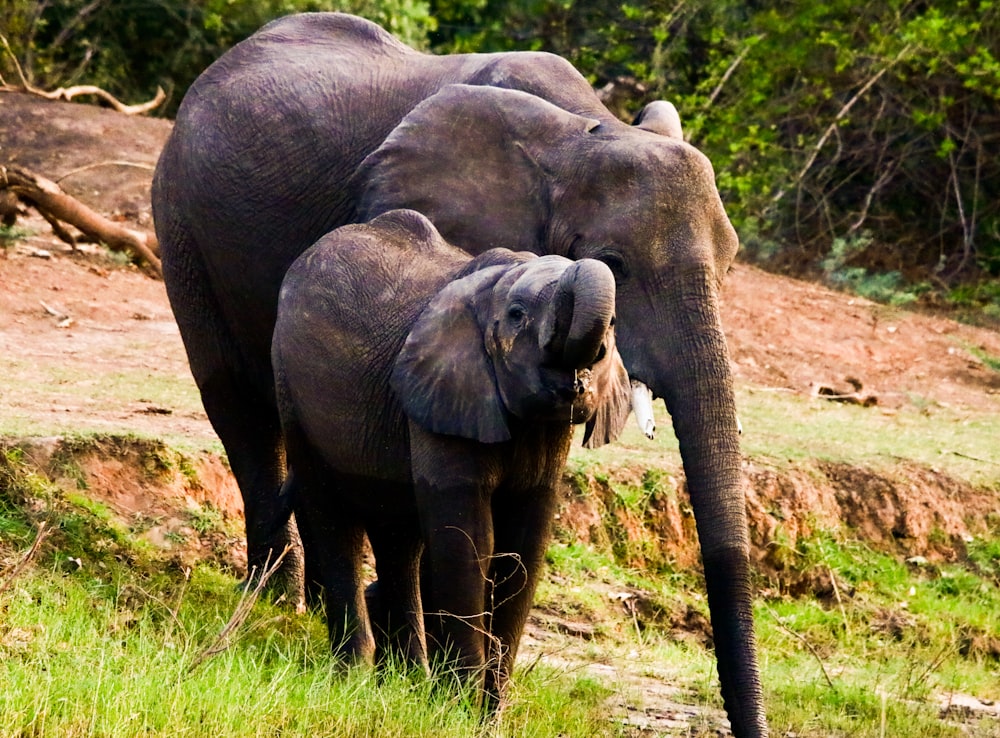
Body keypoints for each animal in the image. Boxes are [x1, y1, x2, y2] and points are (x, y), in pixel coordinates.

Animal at [270, 208, 628, 700]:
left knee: (399, 537)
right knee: (332, 517)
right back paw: (355, 678)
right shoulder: (442, 392)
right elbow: (469, 540)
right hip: (291, 388)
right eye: (517, 315)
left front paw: (487, 709)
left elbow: (525, 545)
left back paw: (407, 680)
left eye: (613, 327)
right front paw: (458, 704)